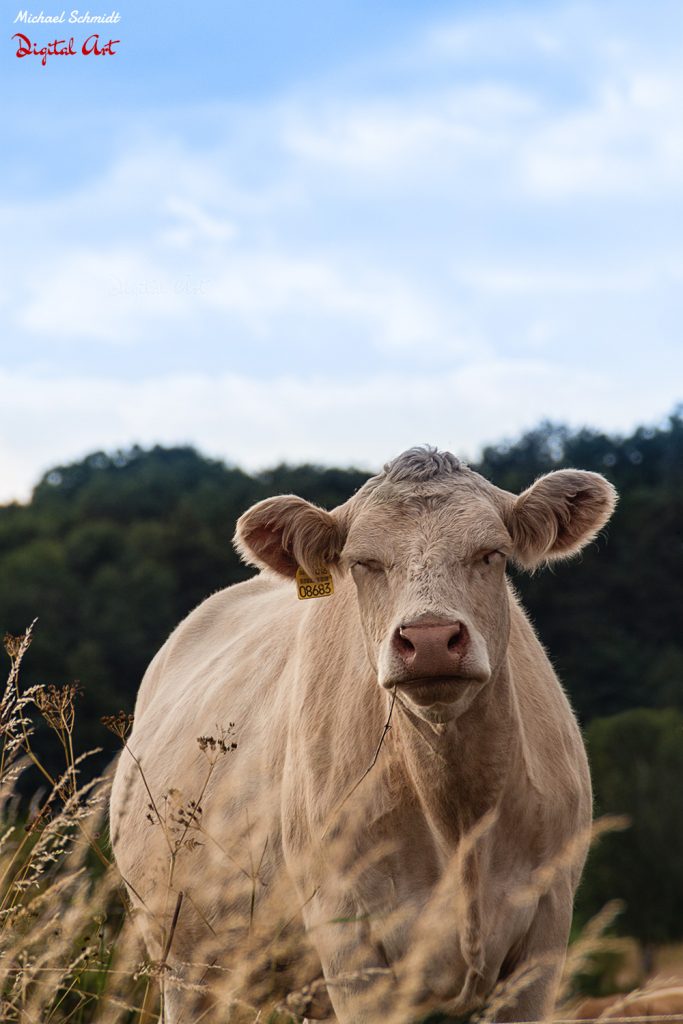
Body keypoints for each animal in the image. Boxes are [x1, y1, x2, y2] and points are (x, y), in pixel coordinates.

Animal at [109, 450, 618, 1024]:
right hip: (186, 963)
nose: (430, 639)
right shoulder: (350, 940)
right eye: (363, 563)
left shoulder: (544, 932)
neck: (457, 815)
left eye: (492, 554)